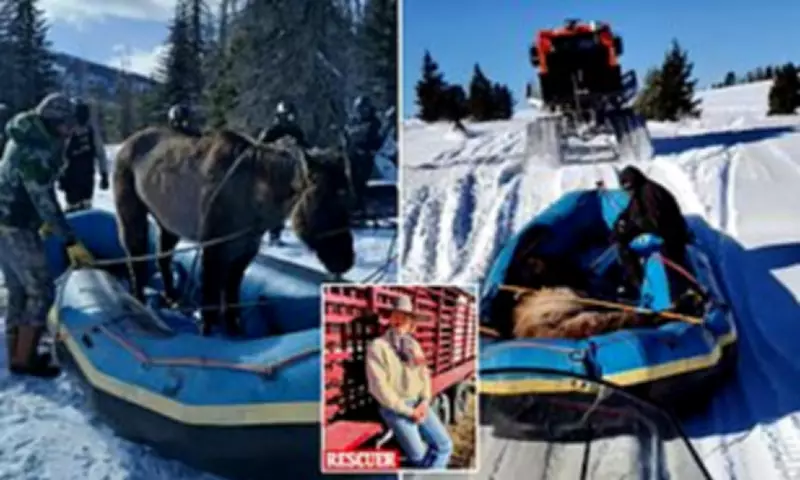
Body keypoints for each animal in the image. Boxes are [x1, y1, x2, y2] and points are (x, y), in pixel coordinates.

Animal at [113, 126, 356, 336]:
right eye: (323, 202)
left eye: (347, 200)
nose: (345, 260)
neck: (255, 196)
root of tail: (127, 145)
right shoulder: (214, 247)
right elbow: (211, 296)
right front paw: (209, 331)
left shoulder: (245, 249)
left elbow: (231, 294)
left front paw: (234, 329)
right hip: (132, 214)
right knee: (135, 258)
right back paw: (138, 299)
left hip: (167, 223)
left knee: (163, 258)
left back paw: (172, 297)